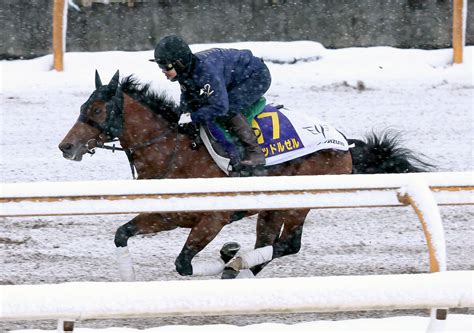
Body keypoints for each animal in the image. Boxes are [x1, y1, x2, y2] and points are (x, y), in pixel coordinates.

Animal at [57, 70, 432, 280]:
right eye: (82, 107)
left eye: (96, 110)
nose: (66, 146)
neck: (175, 152)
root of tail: (342, 141)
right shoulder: (165, 215)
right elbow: (122, 234)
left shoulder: (212, 219)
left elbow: (183, 264)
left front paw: (225, 259)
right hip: (269, 208)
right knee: (269, 245)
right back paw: (234, 260)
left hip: (297, 202)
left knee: (287, 245)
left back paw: (233, 262)